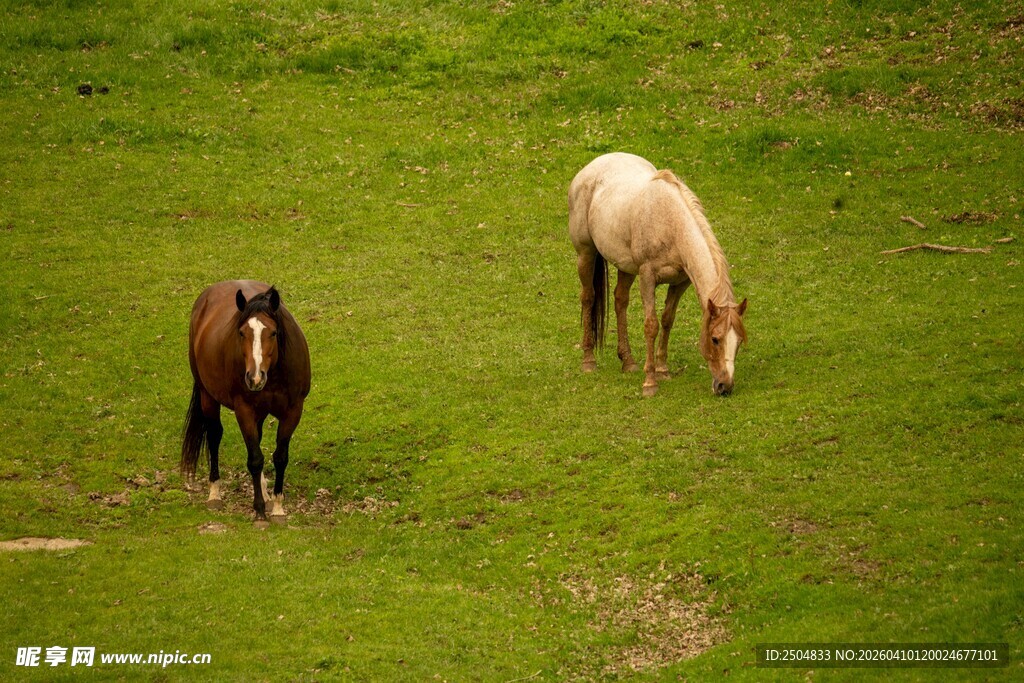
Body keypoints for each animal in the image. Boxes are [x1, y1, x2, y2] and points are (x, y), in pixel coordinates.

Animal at [180, 281, 311, 523]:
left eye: (273, 333)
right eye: (241, 333)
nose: (254, 377)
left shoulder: (293, 411)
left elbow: (280, 457)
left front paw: (277, 507)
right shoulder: (244, 411)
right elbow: (255, 459)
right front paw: (259, 511)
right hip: (207, 395)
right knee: (214, 436)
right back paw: (215, 494)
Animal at [568, 152, 747, 397]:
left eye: (738, 342)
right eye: (715, 339)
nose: (725, 386)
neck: (670, 224)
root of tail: (590, 167)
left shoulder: (680, 282)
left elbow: (667, 320)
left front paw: (662, 369)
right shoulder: (647, 277)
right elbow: (651, 325)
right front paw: (650, 382)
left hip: (626, 266)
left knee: (620, 300)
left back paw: (628, 361)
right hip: (586, 254)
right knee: (588, 297)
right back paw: (588, 361)